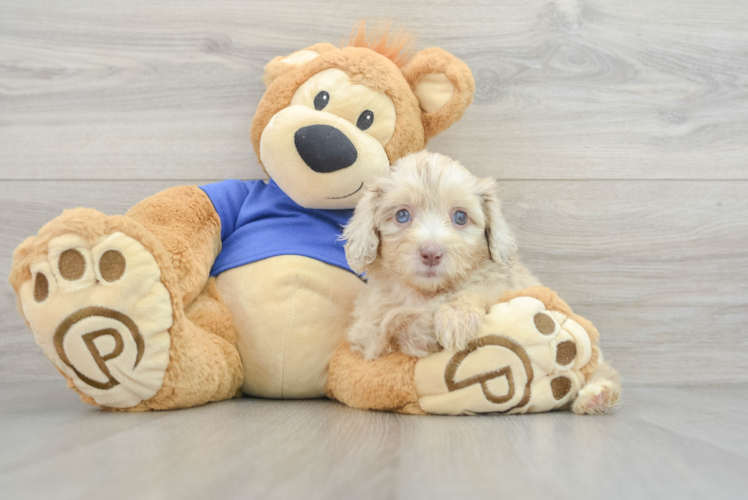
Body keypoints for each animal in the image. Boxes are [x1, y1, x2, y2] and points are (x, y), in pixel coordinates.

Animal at [342, 150, 540, 362]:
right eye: (402, 215)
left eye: (460, 217)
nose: (431, 253)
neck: (427, 293)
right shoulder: (367, 333)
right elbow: (388, 327)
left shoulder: (503, 285)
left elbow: (481, 288)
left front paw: (456, 316)